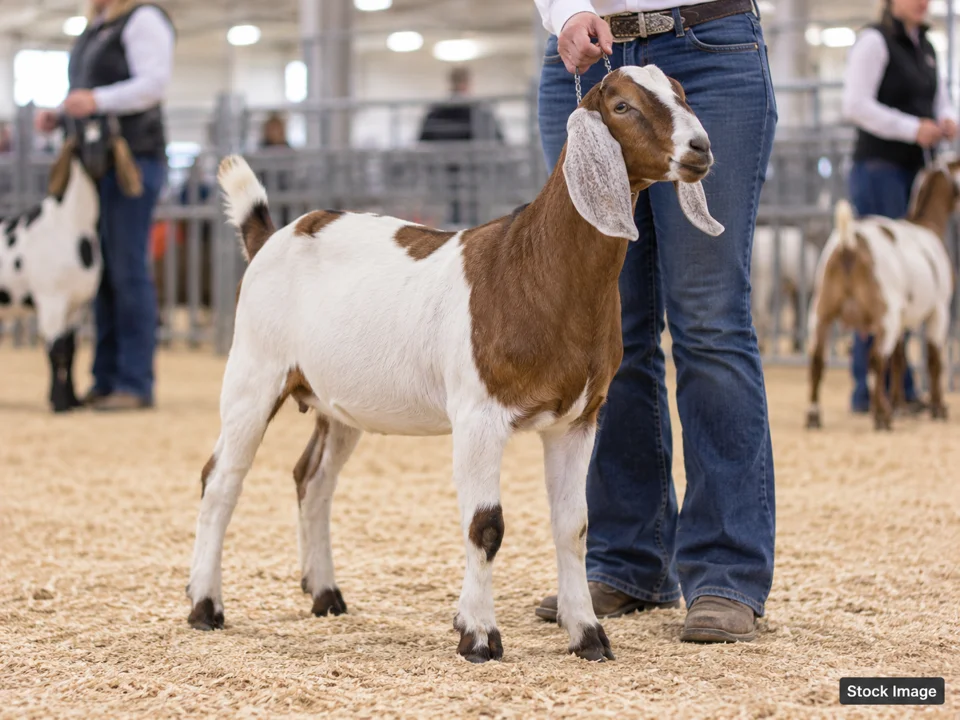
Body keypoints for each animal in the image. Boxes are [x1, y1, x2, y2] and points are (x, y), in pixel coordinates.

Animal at [185, 65, 724, 663]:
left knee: (313, 479)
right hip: (254, 371)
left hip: (335, 403)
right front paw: (479, 635)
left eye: (681, 93)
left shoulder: (578, 419)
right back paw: (205, 605)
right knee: (221, 479)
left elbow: (573, 526)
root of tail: (269, 237)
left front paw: (587, 634)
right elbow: (485, 526)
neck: (532, 264)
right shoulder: (478, 415)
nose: (700, 148)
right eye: (624, 106)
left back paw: (324, 592)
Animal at [805, 162, 957, 430]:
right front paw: (938, 408)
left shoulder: (902, 319)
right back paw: (882, 416)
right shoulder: (939, 310)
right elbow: (934, 360)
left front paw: (901, 405)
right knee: (875, 359)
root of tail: (849, 243)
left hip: (821, 308)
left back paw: (815, 416)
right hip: (885, 313)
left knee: (817, 360)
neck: (927, 224)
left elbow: (899, 360)